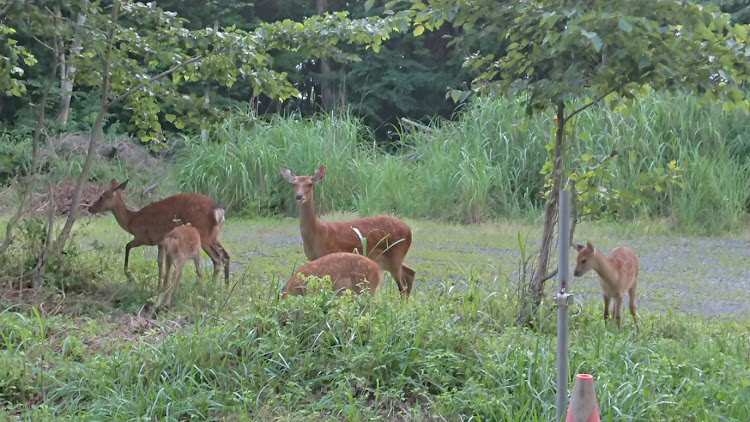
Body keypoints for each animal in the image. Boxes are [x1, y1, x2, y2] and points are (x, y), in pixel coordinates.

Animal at [88, 179, 231, 284]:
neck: (131, 221)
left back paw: (212, 286)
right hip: (215, 236)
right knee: (226, 256)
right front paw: (159, 285)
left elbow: (127, 246)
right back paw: (225, 286)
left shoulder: (144, 237)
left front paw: (129, 275)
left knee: (217, 258)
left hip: (203, 234)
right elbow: (160, 263)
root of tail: (218, 210)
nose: (90, 208)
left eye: (101, 197)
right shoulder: (160, 242)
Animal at [280, 165, 418, 296]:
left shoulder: (330, 254)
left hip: (395, 254)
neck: (318, 233)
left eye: (310, 183)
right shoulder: (314, 259)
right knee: (410, 273)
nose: (299, 196)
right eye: (294, 184)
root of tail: (409, 230)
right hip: (386, 258)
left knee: (402, 285)